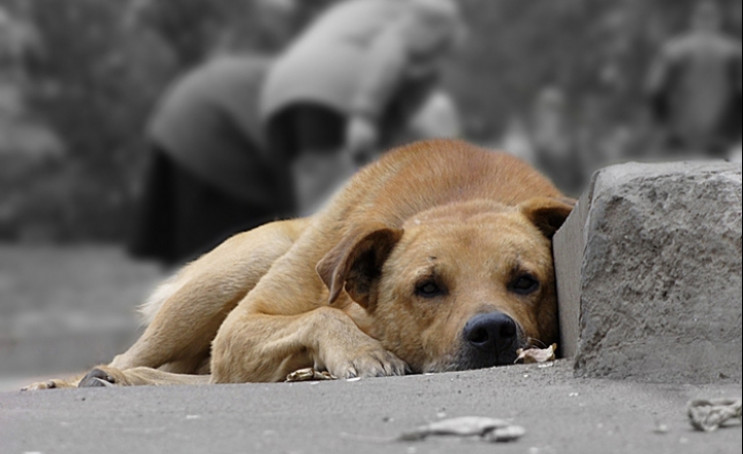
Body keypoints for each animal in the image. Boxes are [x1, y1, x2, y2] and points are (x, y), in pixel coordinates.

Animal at [21, 139, 568, 390]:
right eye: (427, 287)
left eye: (526, 281)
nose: (493, 331)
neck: (461, 197)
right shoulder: (241, 325)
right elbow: (320, 312)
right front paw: (361, 352)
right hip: (236, 272)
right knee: (135, 357)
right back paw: (79, 379)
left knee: (206, 379)